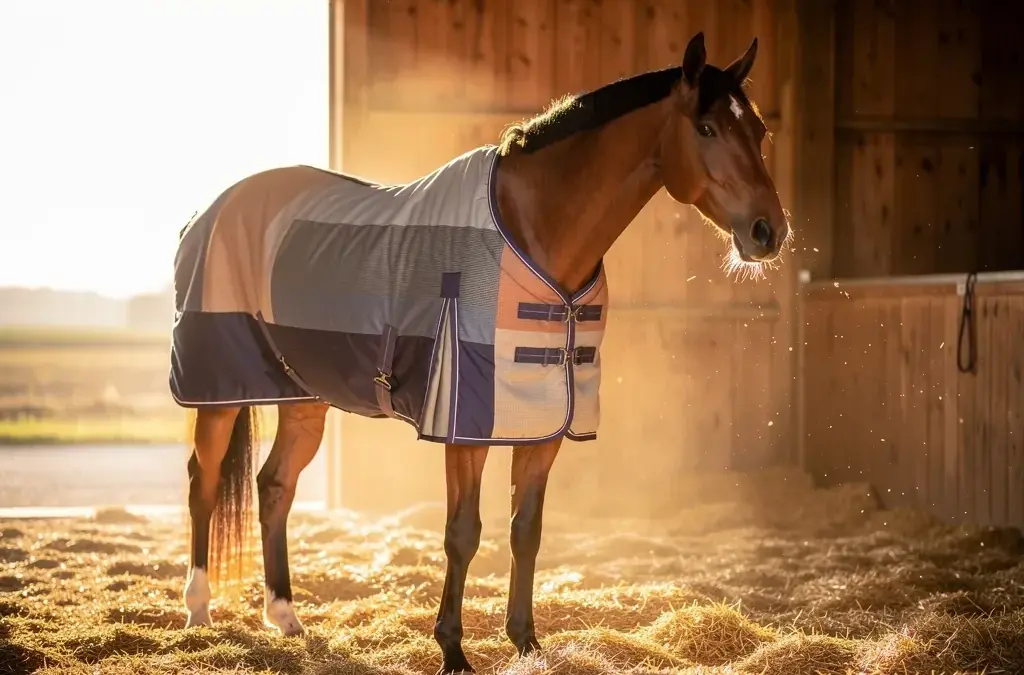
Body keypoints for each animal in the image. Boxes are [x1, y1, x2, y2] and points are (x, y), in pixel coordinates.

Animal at [170, 31, 789, 674]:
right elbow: (463, 532)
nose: (769, 232)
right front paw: (452, 650)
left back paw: (286, 617)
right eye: (707, 128)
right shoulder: (464, 425)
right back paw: (198, 610)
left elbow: (526, 530)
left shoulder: (543, 421)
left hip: (303, 395)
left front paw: (526, 642)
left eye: (760, 131)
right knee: (203, 483)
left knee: (274, 487)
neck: (532, 229)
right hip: (217, 391)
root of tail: (206, 212)